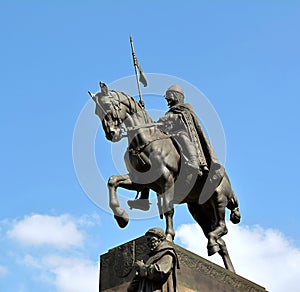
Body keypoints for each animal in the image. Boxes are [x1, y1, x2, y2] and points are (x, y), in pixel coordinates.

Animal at [89, 81, 241, 272]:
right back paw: (223, 260)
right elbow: (113, 181)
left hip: (218, 197)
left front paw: (168, 237)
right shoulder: (138, 181)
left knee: (223, 227)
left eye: (109, 106)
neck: (145, 141)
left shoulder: (167, 180)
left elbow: (169, 209)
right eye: (96, 111)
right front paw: (121, 217)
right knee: (221, 242)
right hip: (199, 210)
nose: (111, 133)